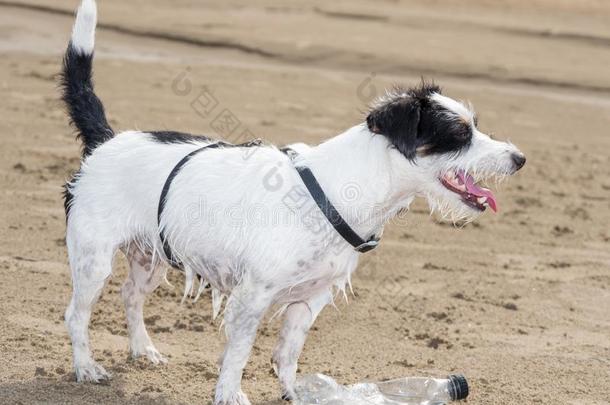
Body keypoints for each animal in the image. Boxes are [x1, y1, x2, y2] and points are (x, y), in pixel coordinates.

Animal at [63, 1, 524, 402]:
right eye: (459, 135)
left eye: (476, 127)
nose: (520, 159)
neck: (338, 190)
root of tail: (106, 141)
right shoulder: (251, 297)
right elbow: (238, 354)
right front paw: (229, 394)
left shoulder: (309, 301)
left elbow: (287, 354)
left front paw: (295, 393)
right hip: (93, 259)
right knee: (77, 314)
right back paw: (86, 367)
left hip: (150, 257)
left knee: (130, 295)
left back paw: (142, 349)